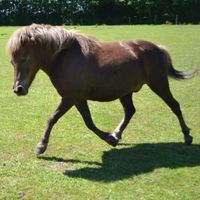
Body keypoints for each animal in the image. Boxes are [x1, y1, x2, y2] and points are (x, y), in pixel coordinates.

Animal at [7, 23, 196, 155]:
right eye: (12, 61)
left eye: (24, 59)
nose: (18, 89)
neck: (65, 58)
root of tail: (157, 48)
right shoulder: (78, 99)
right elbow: (89, 122)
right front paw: (110, 139)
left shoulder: (70, 98)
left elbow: (52, 119)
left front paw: (41, 146)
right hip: (126, 92)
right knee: (130, 111)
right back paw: (117, 134)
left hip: (159, 84)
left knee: (174, 105)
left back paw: (187, 135)